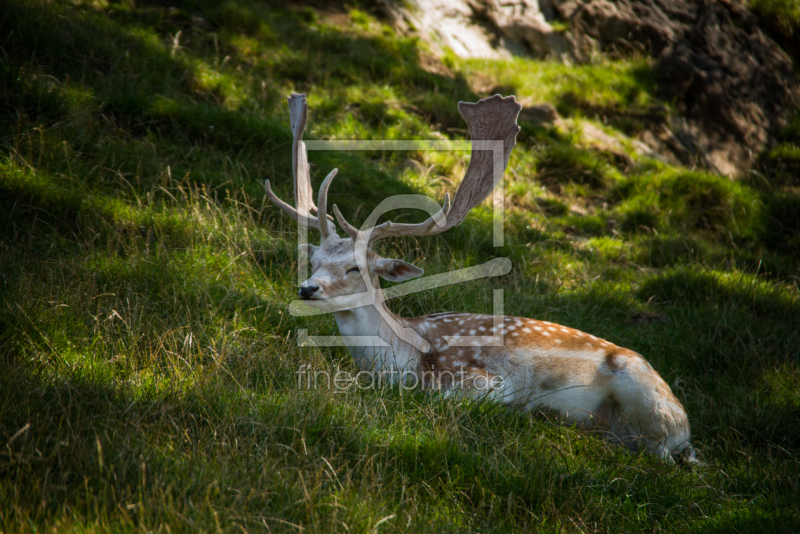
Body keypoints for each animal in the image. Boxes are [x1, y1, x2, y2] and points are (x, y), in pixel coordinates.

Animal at [264, 92, 700, 464]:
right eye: (313, 260)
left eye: (355, 267)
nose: (307, 288)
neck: (405, 358)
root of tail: (686, 427)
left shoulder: (481, 378)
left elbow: (442, 398)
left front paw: (514, 409)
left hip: (645, 399)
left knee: (657, 453)